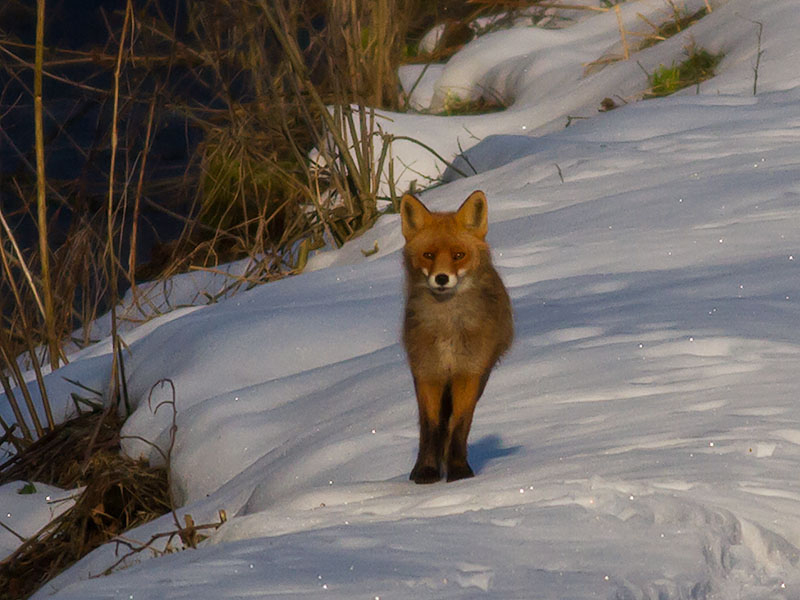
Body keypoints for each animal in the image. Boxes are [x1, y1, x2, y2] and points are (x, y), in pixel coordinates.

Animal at [400, 191, 512, 482]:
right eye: (428, 255)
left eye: (458, 255)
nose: (441, 278)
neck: (448, 327)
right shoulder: (428, 372)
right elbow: (430, 426)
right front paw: (426, 471)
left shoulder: (468, 372)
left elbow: (460, 425)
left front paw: (459, 471)